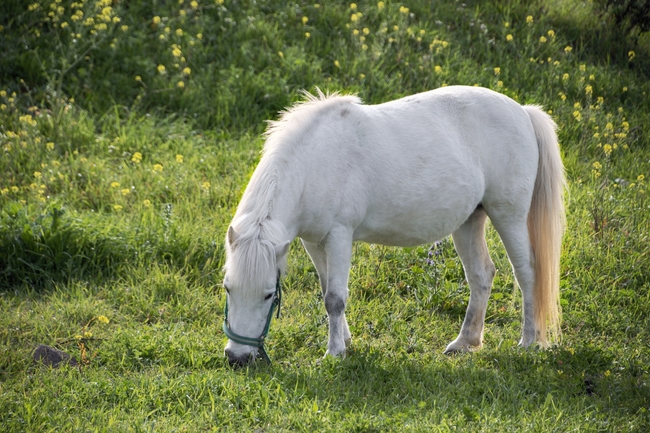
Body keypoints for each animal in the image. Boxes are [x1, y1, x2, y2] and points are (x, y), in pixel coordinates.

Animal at [222, 86, 565, 366]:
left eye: (269, 295)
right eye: (227, 287)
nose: (237, 358)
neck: (315, 163)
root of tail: (523, 111)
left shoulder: (339, 236)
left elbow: (335, 298)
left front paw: (334, 352)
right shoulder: (313, 241)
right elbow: (326, 290)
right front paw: (344, 339)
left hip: (508, 216)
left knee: (527, 273)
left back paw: (529, 341)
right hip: (469, 221)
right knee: (481, 276)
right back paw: (465, 342)